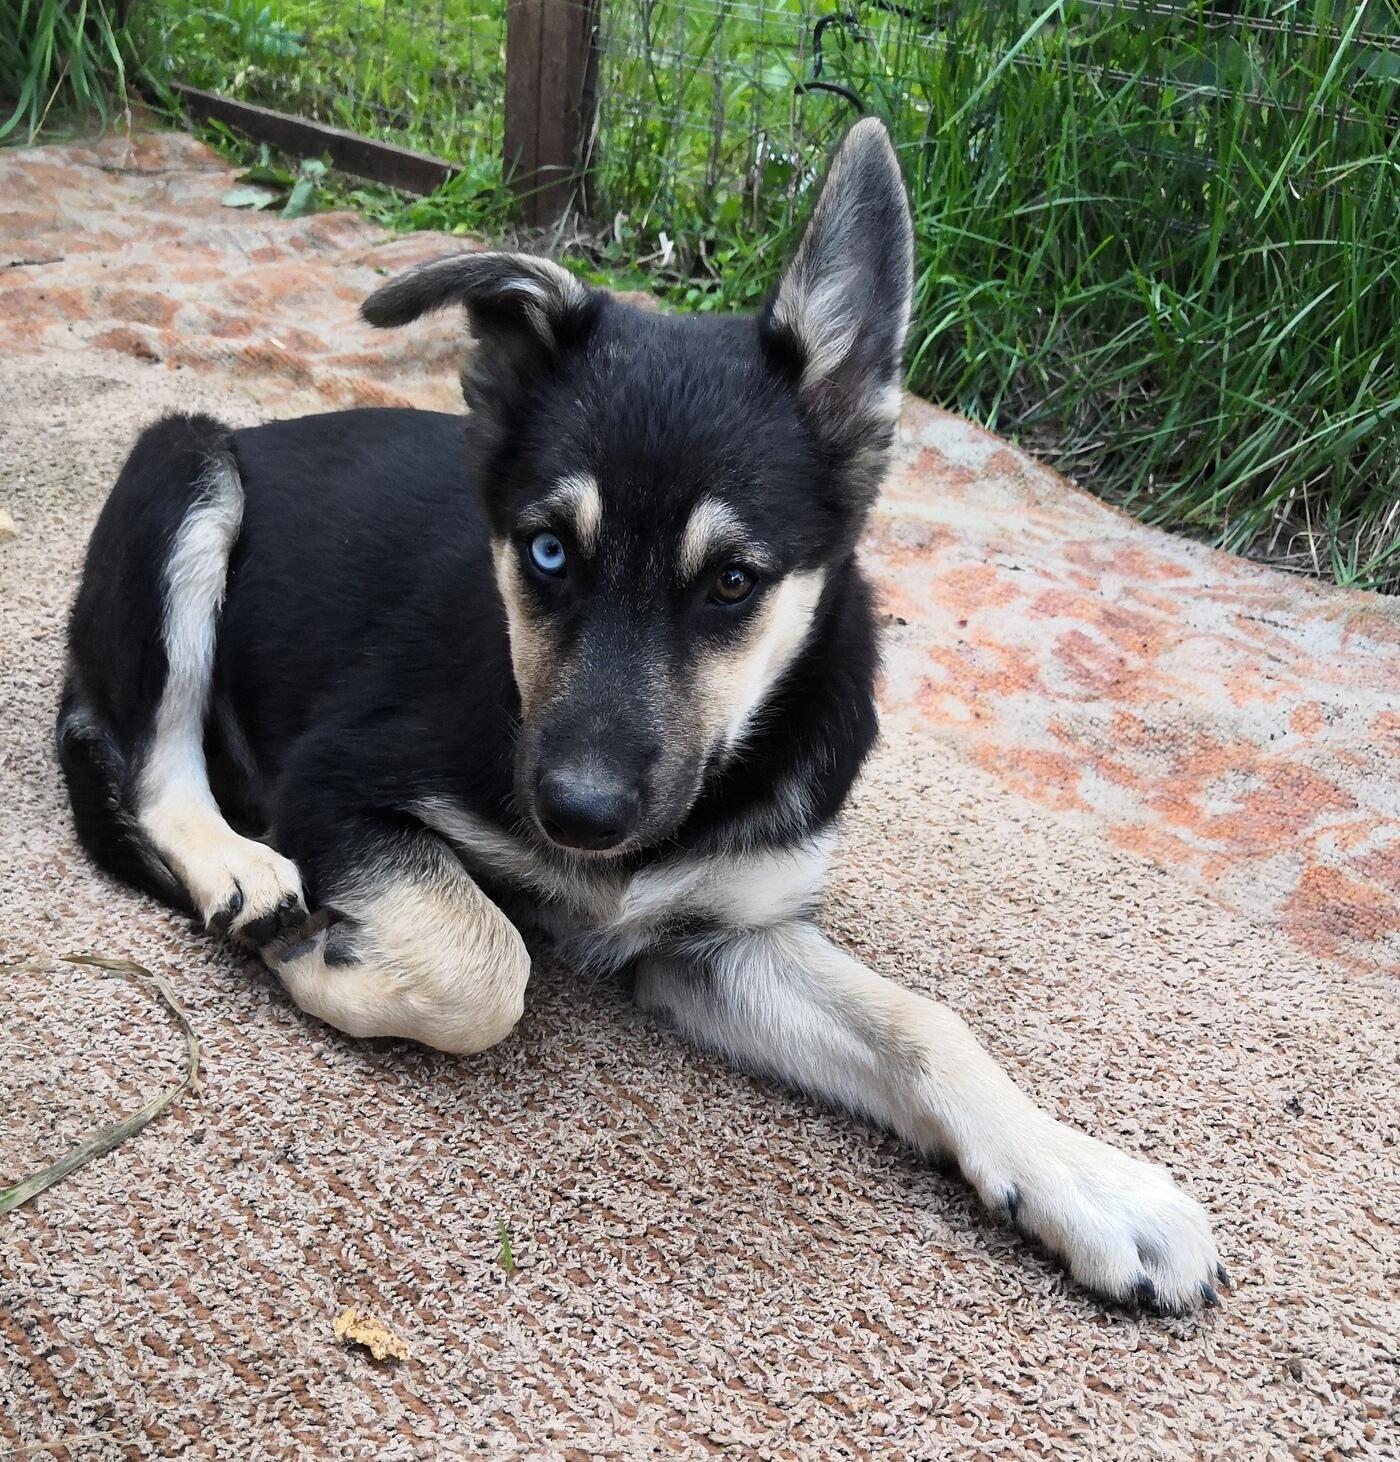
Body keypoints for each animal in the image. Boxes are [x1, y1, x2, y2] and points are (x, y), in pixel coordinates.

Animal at [57, 122, 1227, 1315]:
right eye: (545, 551)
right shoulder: (332, 785)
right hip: (186, 466)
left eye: (732, 583)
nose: (578, 815)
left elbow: (921, 1023)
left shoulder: (719, 938)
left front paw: (1082, 1181)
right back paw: (241, 875)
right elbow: (487, 963)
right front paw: (318, 961)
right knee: (155, 767)